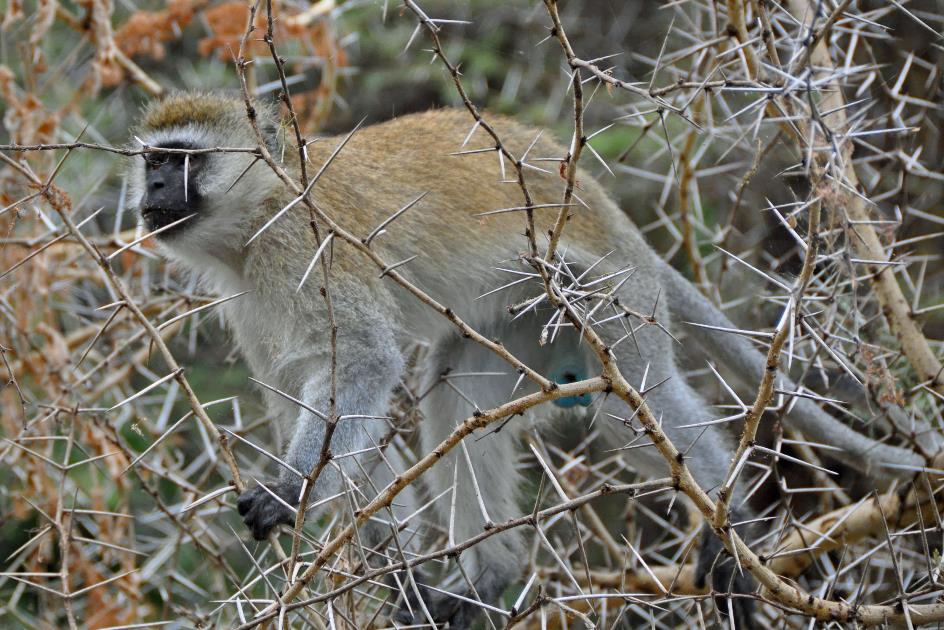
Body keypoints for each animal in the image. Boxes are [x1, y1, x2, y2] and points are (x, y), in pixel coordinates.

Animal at [131, 91, 928, 628]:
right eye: (151, 161)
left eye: (183, 159)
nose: (153, 190)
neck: (258, 217)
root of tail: (617, 219)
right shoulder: (253, 301)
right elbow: (320, 402)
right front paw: (400, 577)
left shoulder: (310, 253)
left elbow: (363, 364)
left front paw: (290, 492)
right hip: (523, 320)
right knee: (457, 391)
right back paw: (485, 580)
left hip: (609, 296)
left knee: (638, 402)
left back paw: (729, 533)